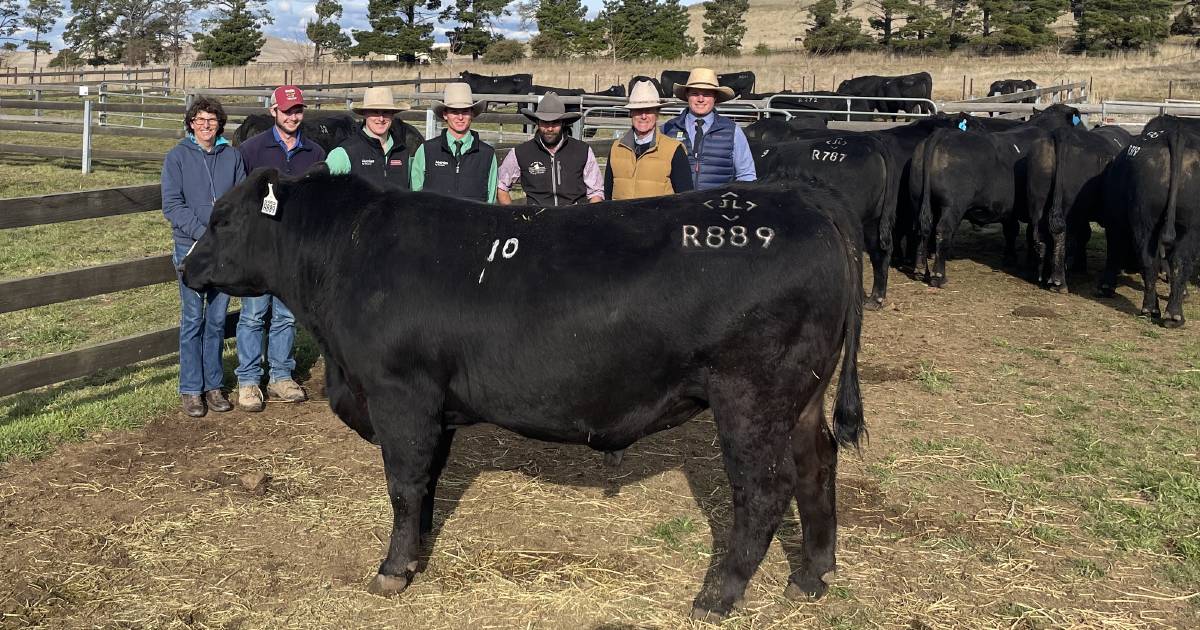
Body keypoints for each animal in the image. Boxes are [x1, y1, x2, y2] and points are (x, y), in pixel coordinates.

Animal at [180, 168, 864, 619]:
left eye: (222, 218)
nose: (185, 268)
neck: (349, 255)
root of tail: (802, 197)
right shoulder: (435, 408)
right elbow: (426, 486)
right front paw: (417, 553)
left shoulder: (401, 395)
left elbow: (403, 484)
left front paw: (392, 571)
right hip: (802, 397)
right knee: (817, 463)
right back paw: (813, 574)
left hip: (751, 396)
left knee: (765, 489)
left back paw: (718, 595)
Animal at [1099, 114, 1195, 326]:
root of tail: (1173, 134)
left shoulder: (1114, 220)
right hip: (1188, 225)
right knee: (1177, 260)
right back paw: (1171, 314)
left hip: (1146, 221)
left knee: (1152, 259)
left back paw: (1154, 309)